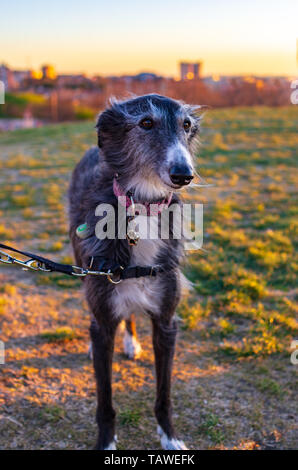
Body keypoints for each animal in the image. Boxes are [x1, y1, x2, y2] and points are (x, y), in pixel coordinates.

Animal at [68, 93, 201, 450]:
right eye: (146, 123)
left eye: (186, 125)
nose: (184, 174)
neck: (141, 208)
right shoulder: (103, 308)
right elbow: (105, 401)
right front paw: (106, 442)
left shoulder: (167, 323)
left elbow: (164, 395)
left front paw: (170, 437)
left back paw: (130, 343)